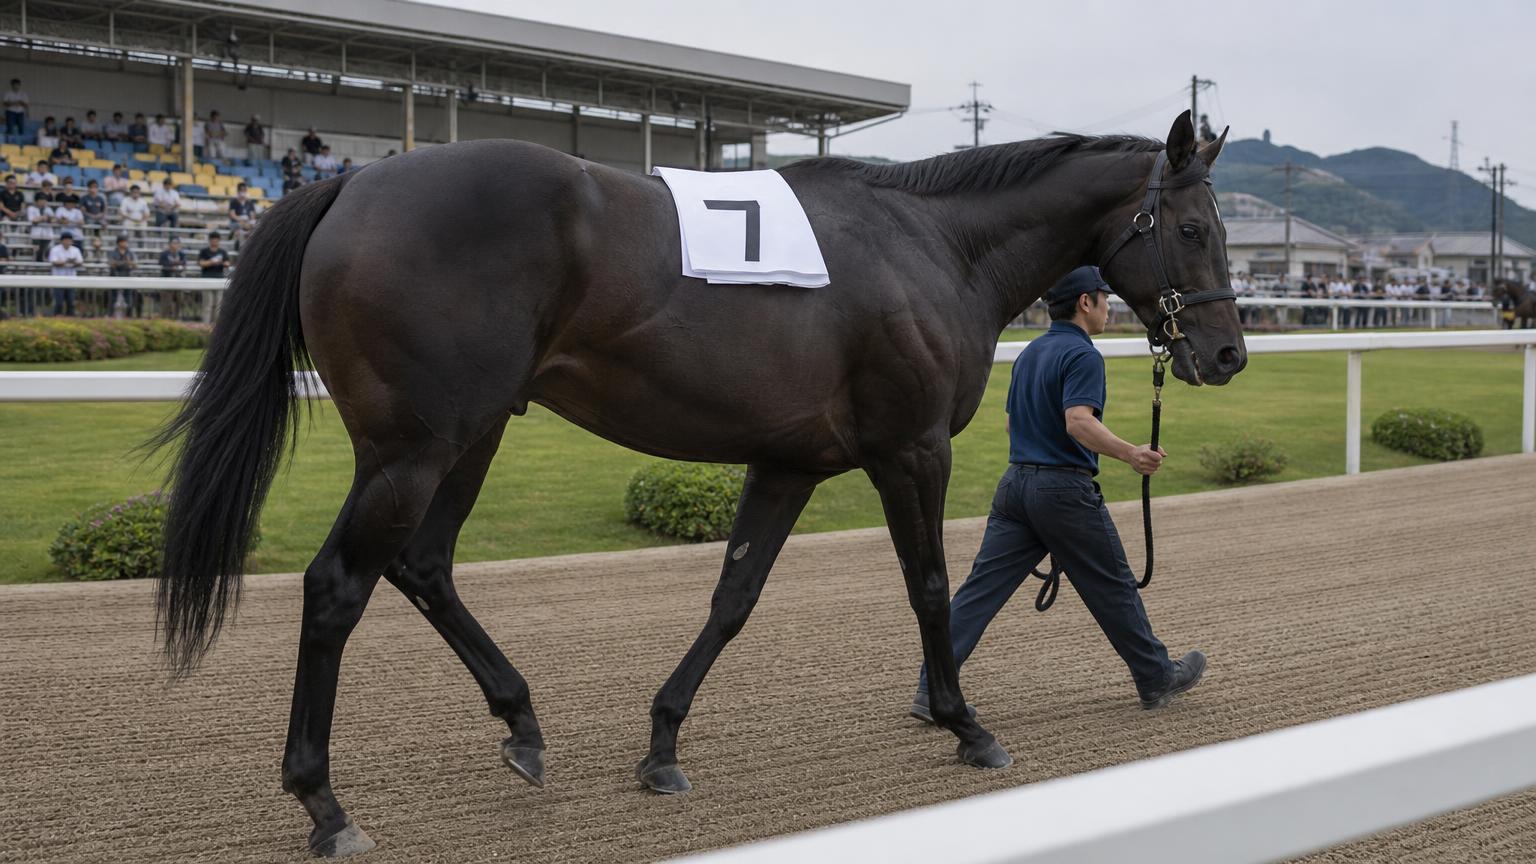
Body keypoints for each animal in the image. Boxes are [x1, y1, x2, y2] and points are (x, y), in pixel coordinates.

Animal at [151, 110, 1246, 856]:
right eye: (1195, 228)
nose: (1228, 354)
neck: (930, 245)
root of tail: (349, 187)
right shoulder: (911, 449)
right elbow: (931, 586)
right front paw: (968, 726)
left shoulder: (789, 459)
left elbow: (734, 596)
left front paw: (662, 746)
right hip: (416, 446)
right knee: (339, 585)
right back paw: (325, 803)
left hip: (471, 434)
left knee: (423, 566)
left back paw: (522, 725)